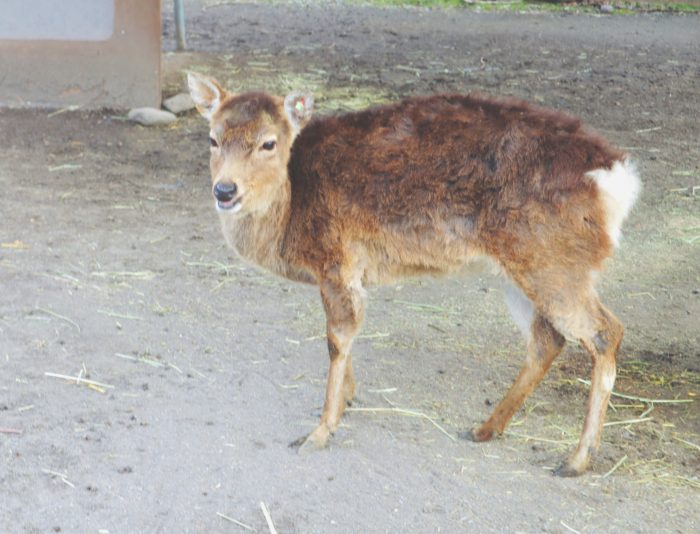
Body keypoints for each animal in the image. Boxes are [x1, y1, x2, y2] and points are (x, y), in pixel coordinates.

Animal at [186, 71, 640, 478]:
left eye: (269, 142)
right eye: (212, 138)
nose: (225, 190)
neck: (291, 210)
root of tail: (618, 178)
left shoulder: (337, 258)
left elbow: (337, 338)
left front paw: (319, 432)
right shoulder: (344, 273)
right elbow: (342, 337)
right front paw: (348, 399)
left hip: (553, 260)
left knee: (605, 331)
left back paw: (576, 460)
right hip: (523, 267)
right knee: (548, 339)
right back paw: (485, 428)